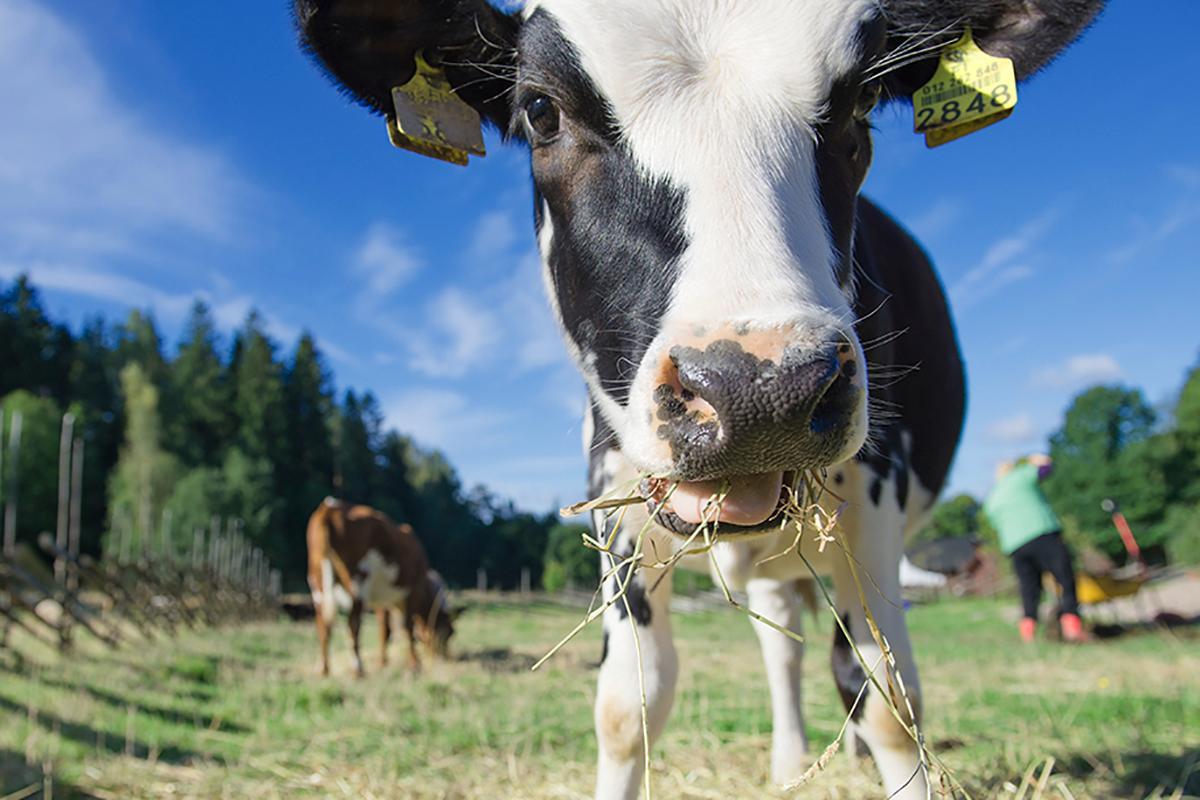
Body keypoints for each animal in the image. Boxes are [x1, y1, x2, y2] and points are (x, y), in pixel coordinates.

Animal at [307, 501, 456, 676]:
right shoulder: (413, 590)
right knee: (353, 624)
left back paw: (323, 669)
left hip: (317, 581)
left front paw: (383, 663)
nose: (445, 657)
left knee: (323, 625)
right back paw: (358, 668)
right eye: (449, 632)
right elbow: (408, 627)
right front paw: (414, 663)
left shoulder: (383, 599)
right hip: (358, 581)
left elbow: (384, 630)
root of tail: (329, 507)